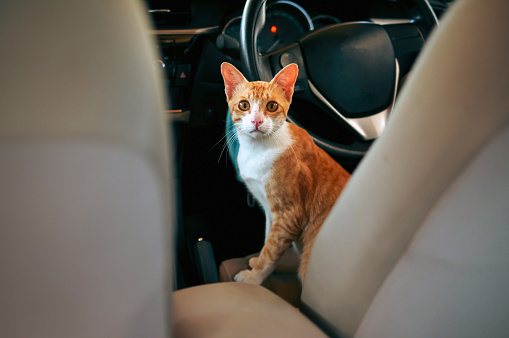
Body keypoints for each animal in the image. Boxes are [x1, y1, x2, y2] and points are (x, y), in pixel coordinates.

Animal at [219, 62, 350, 284]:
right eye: (244, 105)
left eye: (272, 106)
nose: (256, 121)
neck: (258, 149)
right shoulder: (269, 209)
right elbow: (267, 238)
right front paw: (257, 262)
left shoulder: (289, 213)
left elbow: (272, 248)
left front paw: (254, 277)